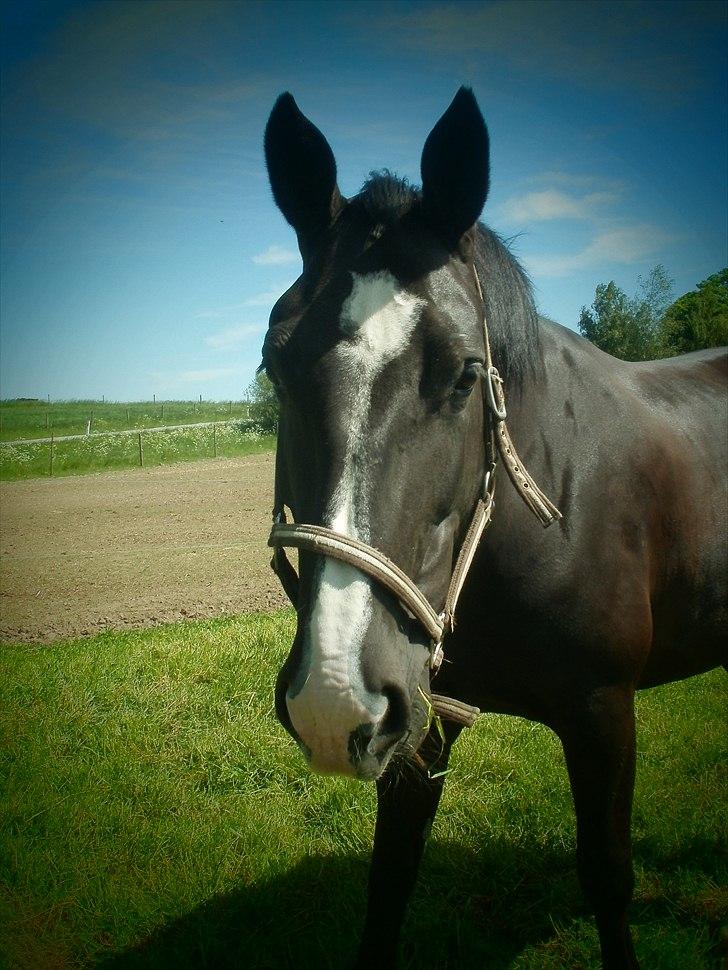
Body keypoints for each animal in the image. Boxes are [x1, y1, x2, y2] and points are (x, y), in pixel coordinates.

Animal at [258, 87, 724, 964]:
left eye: (467, 373)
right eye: (276, 364)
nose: (333, 697)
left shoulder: (604, 712)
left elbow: (608, 878)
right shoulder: (420, 718)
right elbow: (390, 881)